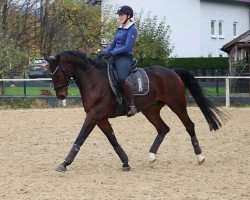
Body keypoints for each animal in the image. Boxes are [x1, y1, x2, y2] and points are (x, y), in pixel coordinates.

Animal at [44, 50, 228, 172]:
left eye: (58, 73)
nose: (61, 95)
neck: (94, 80)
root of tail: (172, 72)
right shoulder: (100, 118)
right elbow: (112, 139)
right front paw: (125, 162)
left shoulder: (94, 116)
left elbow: (80, 138)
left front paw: (65, 163)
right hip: (150, 110)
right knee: (163, 129)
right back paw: (152, 157)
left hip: (177, 105)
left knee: (189, 125)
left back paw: (200, 157)